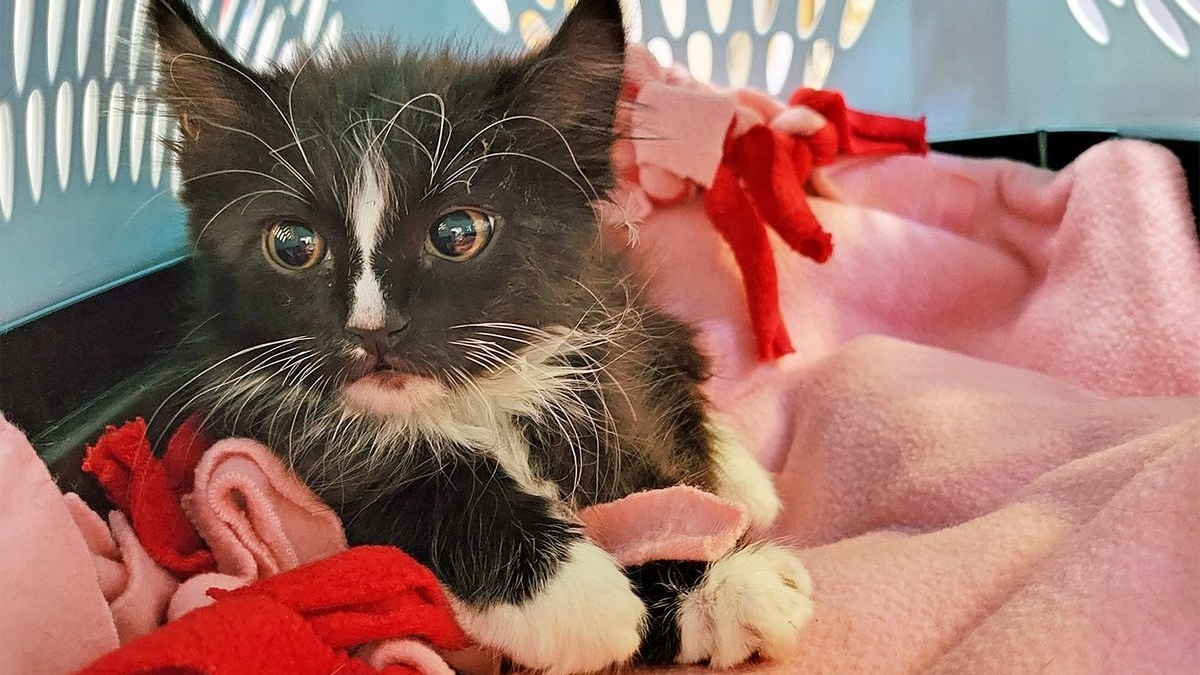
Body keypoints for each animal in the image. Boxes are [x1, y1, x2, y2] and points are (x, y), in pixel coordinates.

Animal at [145, 0, 811, 667]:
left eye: (457, 233)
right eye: (293, 244)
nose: (374, 328)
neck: (467, 400)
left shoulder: (602, 361)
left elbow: (651, 483)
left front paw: (724, 582)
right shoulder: (270, 440)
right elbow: (402, 484)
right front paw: (581, 597)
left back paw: (745, 479)